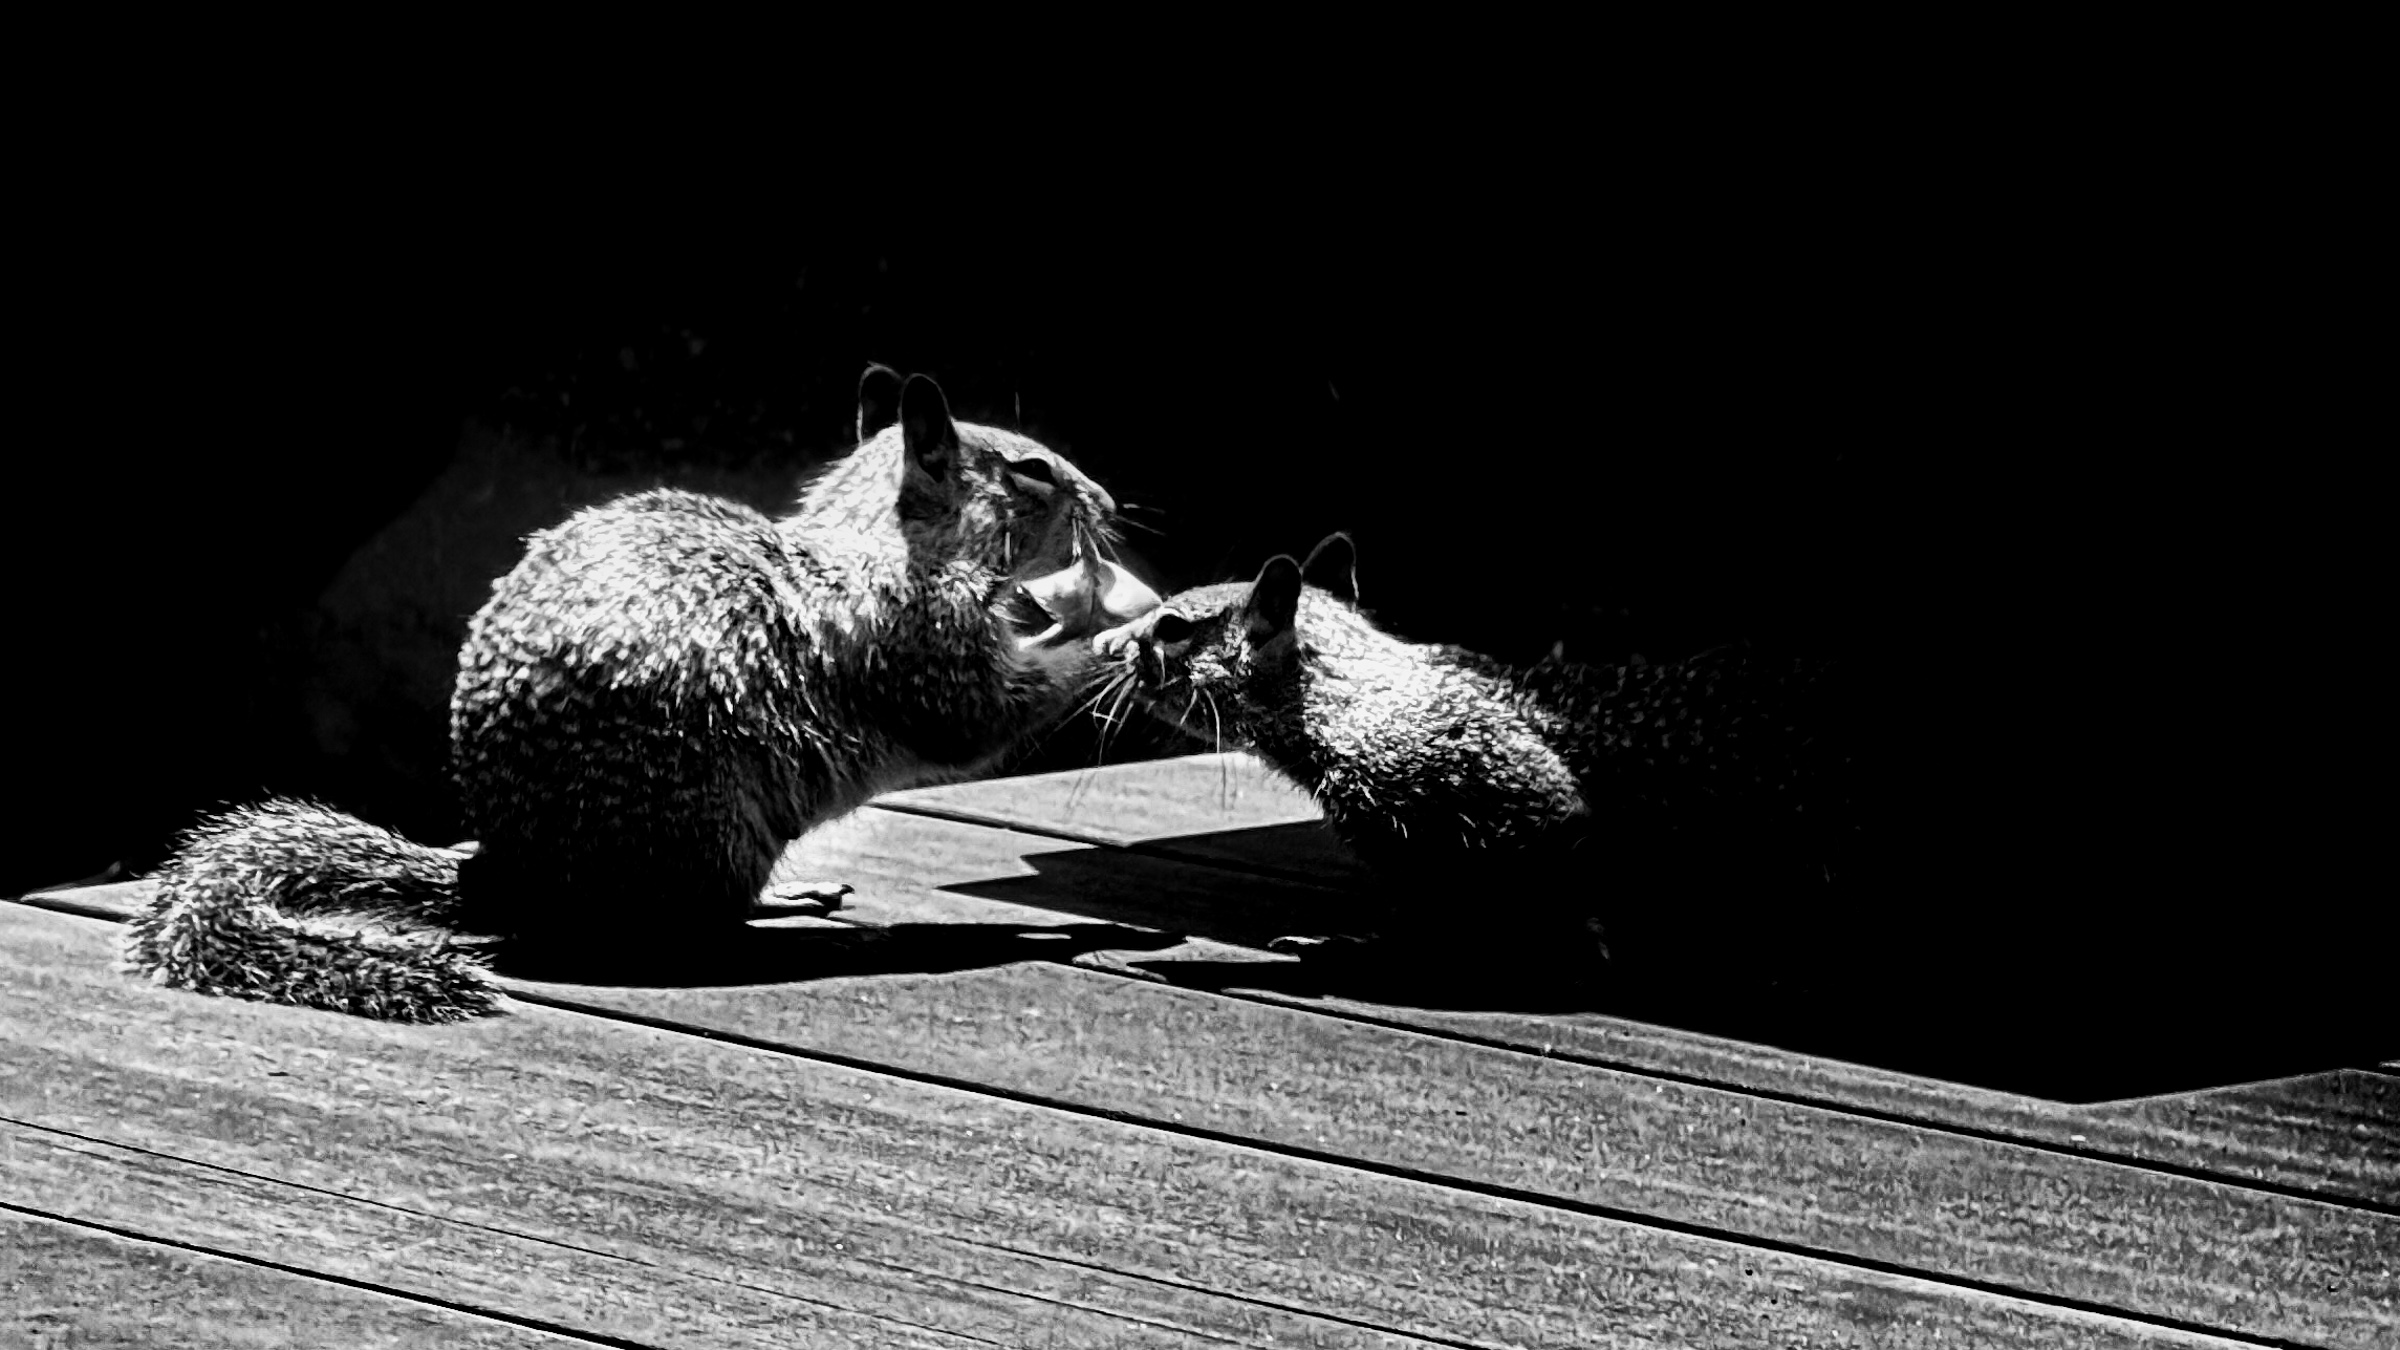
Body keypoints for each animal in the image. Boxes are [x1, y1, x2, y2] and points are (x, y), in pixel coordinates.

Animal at [125, 369, 1158, 1022]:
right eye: (1033, 470)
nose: (1111, 504)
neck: (881, 542)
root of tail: (507, 875)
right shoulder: (917, 639)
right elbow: (979, 713)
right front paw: (1115, 637)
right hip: (710, 829)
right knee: (691, 927)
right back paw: (792, 917)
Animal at [1090, 533, 1857, 976]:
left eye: (1172, 626)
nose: (1110, 645)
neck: (1357, 697)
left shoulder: (1507, 798)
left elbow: (1506, 888)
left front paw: (1360, 944)